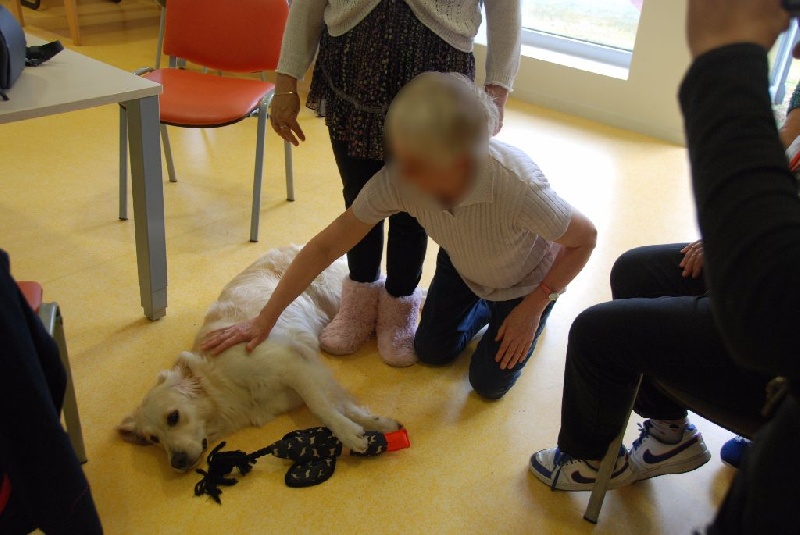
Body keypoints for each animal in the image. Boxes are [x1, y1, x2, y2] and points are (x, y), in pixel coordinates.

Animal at [118, 246, 401, 472]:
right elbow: (339, 403)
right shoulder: (307, 376)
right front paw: (379, 424)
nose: (176, 462)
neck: (222, 385)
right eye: (153, 439)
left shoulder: (291, 364)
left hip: (337, 295)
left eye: (173, 417)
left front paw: (350, 434)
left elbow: (321, 407)